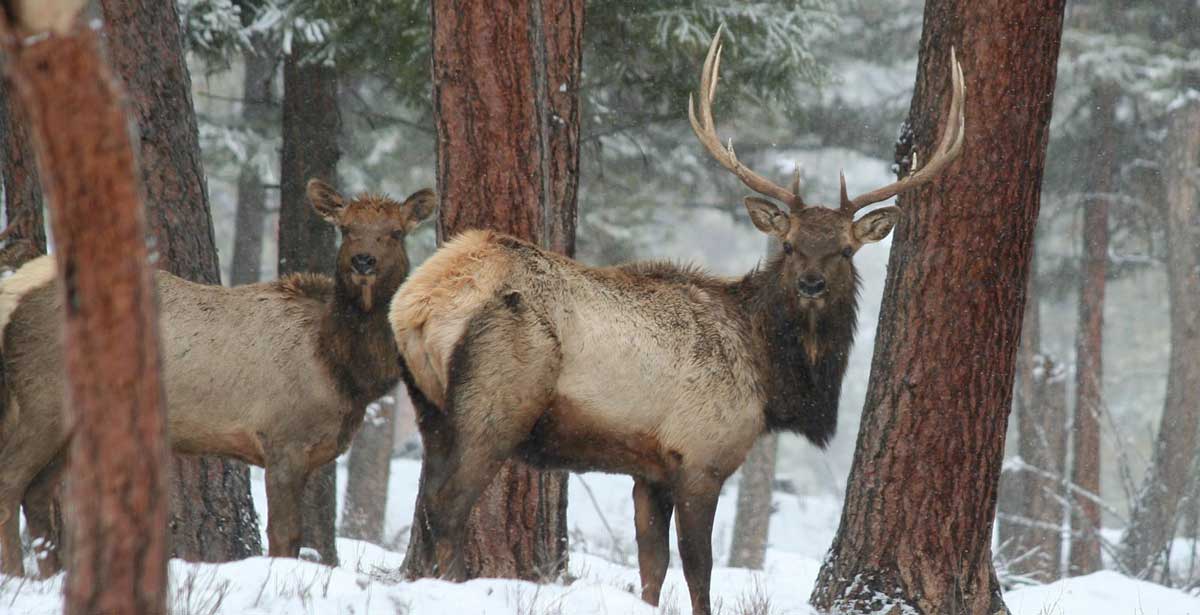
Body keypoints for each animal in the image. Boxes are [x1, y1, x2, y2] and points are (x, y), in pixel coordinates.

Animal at [0, 180, 434, 577]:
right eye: (346, 229)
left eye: (396, 232)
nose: (364, 261)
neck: (343, 372)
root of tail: (16, 296)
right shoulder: (283, 440)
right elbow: (285, 535)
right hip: (42, 401)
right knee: (11, 481)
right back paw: (16, 576)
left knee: (36, 494)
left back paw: (52, 575)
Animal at [389, 28, 965, 615]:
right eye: (789, 245)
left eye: (845, 251)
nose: (811, 284)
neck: (770, 379)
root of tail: (419, 301)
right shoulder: (701, 456)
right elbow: (698, 568)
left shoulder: (650, 470)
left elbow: (652, 566)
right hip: (497, 399)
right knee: (449, 506)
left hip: (429, 406)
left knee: (429, 505)